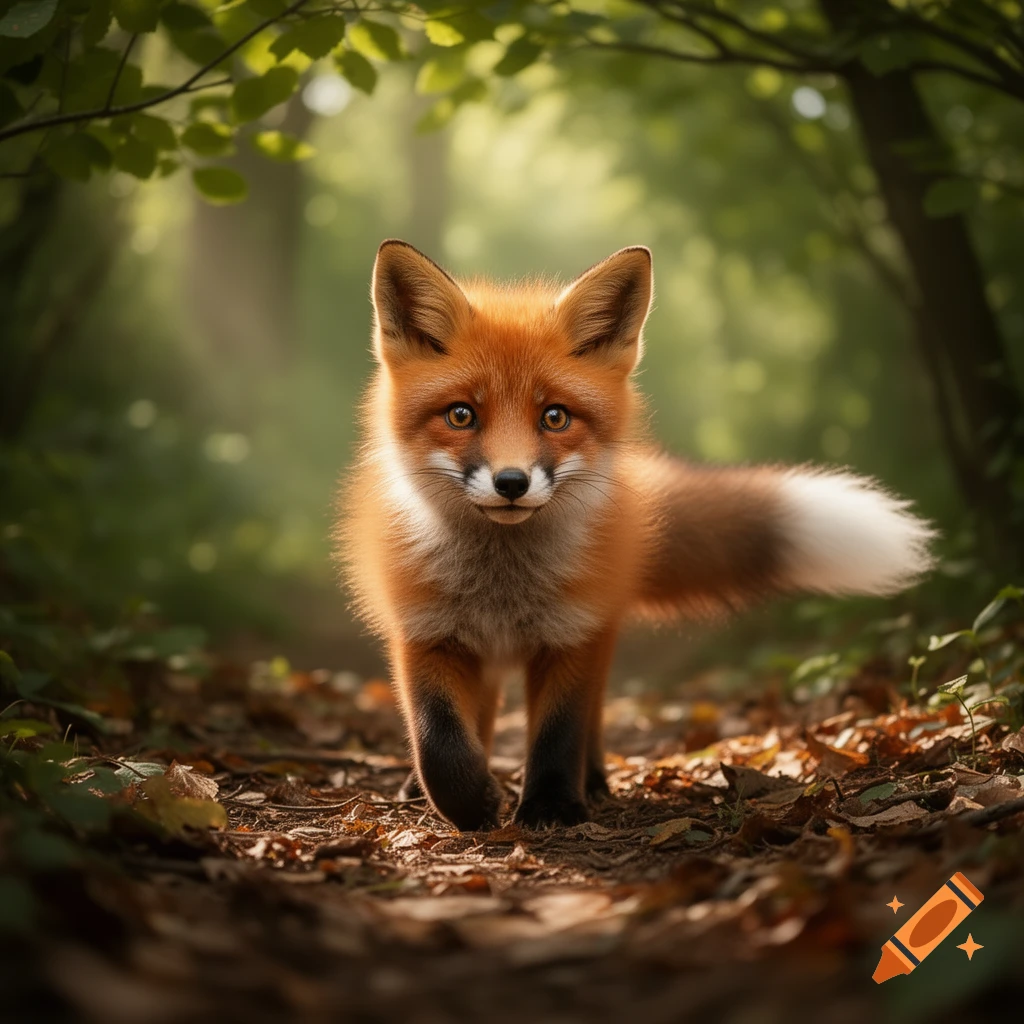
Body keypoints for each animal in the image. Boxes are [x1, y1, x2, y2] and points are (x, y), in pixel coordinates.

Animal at [336, 240, 936, 832]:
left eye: (555, 417)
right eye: (461, 415)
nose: (511, 483)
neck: (501, 587)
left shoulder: (574, 633)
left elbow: (560, 733)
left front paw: (552, 806)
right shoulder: (425, 633)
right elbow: (438, 741)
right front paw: (471, 802)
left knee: (590, 721)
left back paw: (595, 781)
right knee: (477, 722)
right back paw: (424, 789)